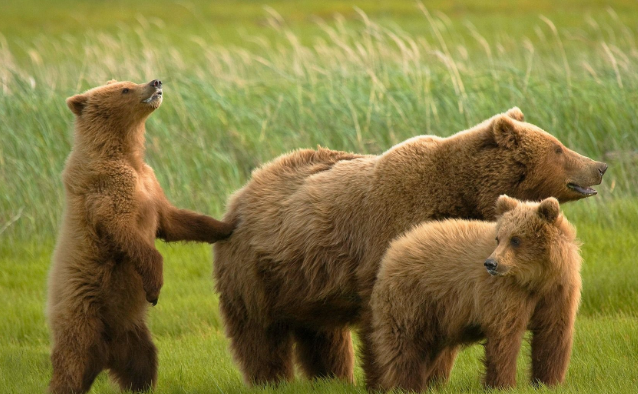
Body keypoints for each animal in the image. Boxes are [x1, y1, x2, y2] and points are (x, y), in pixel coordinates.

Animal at [47, 77, 235, 394]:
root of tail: (105, 357)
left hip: (133, 334)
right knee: (70, 366)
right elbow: (125, 231)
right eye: (125, 89)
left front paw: (227, 226)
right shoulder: (108, 189)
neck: (126, 153)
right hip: (82, 316)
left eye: (130, 81)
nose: (155, 81)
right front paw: (154, 286)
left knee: (143, 364)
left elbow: (173, 221)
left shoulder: (150, 183)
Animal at [370, 195, 584, 392]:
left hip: (440, 315)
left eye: (516, 239)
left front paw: (548, 382)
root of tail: (396, 245)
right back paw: (408, 385)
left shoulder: (558, 291)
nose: (491, 263)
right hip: (413, 298)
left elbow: (552, 335)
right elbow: (505, 337)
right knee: (406, 346)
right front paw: (502, 384)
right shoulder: (505, 293)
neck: (536, 279)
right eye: (499, 238)